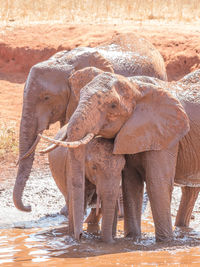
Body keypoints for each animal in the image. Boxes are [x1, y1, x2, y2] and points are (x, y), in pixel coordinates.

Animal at [42, 67, 200, 243]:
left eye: (113, 105)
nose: (80, 237)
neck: (137, 87)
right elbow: (131, 182)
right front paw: (133, 240)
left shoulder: (166, 134)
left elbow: (157, 183)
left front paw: (164, 242)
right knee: (190, 191)